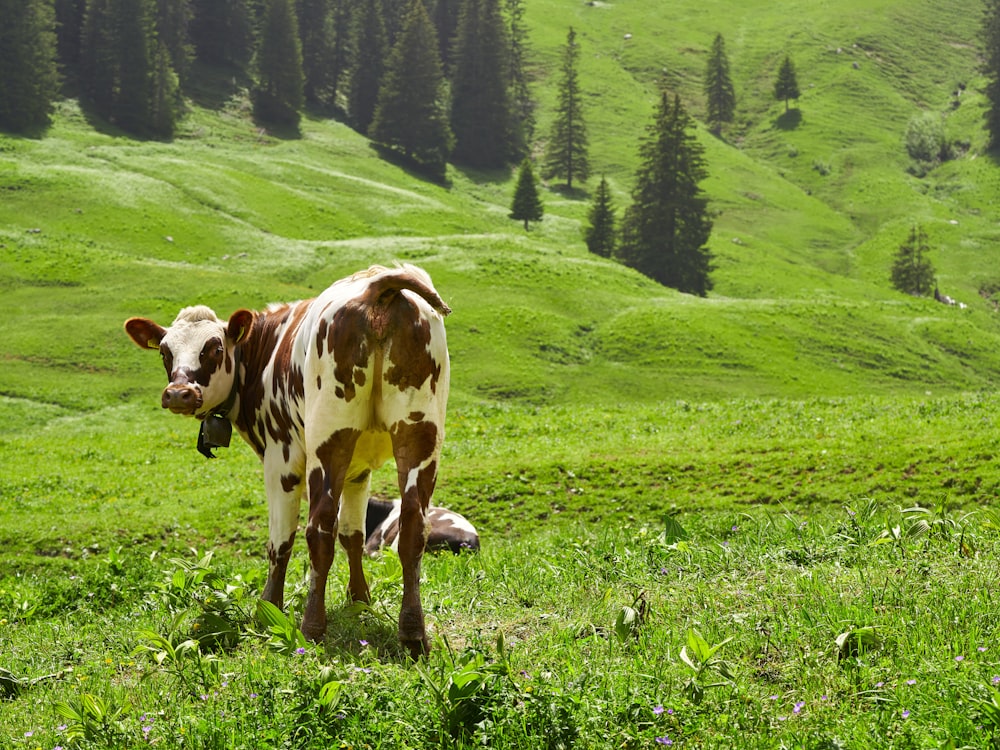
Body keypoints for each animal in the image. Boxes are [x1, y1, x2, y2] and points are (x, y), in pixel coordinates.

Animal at [125, 264, 450, 656]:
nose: (178, 393)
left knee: (318, 529)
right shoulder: (358, 469)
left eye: (214, 348)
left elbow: (280, 542)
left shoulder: (280, 459)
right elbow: (353, 535)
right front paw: (360, 601)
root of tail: (378, 284)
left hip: (328, 437)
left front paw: (269, 609)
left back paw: (312, 627)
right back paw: (413, 634)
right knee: (413, 526)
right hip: (419, 433)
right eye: (164, 352)